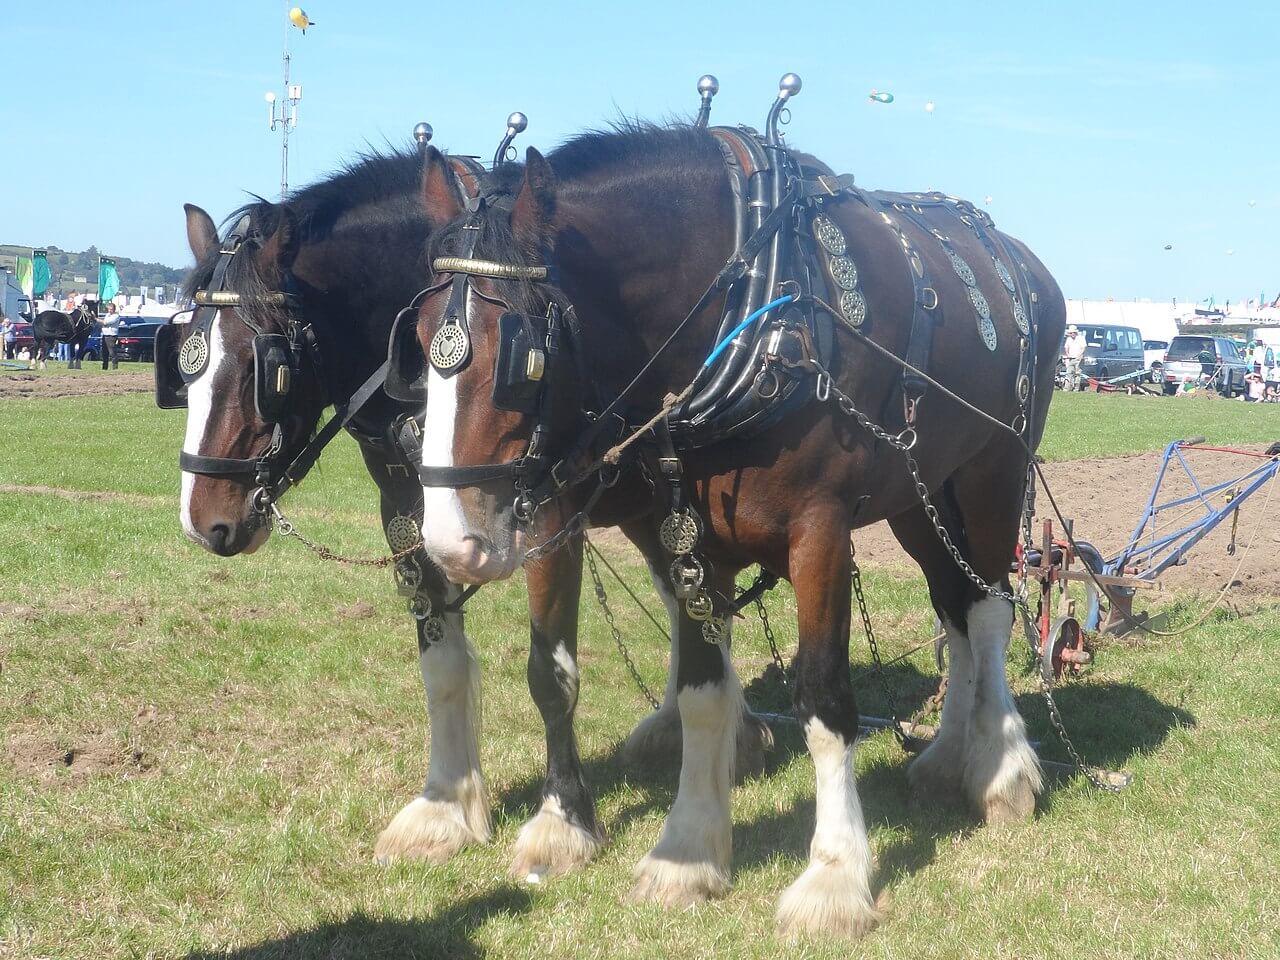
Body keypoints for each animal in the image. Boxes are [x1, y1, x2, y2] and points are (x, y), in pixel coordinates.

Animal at [405, 103, 1065, 937]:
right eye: (418, 336)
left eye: (520, 353)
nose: (447, 539)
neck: (752, 304)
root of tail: (1028, 266)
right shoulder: (688, 534)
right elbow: (701, 690)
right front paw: (686, 851)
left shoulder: (820, 531)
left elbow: (824, 699)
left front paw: (835, 878)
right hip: (920, 493)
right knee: (951, 609)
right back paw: (949, 756)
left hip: (990, 472)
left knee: (989, 609)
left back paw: (1004, 768)